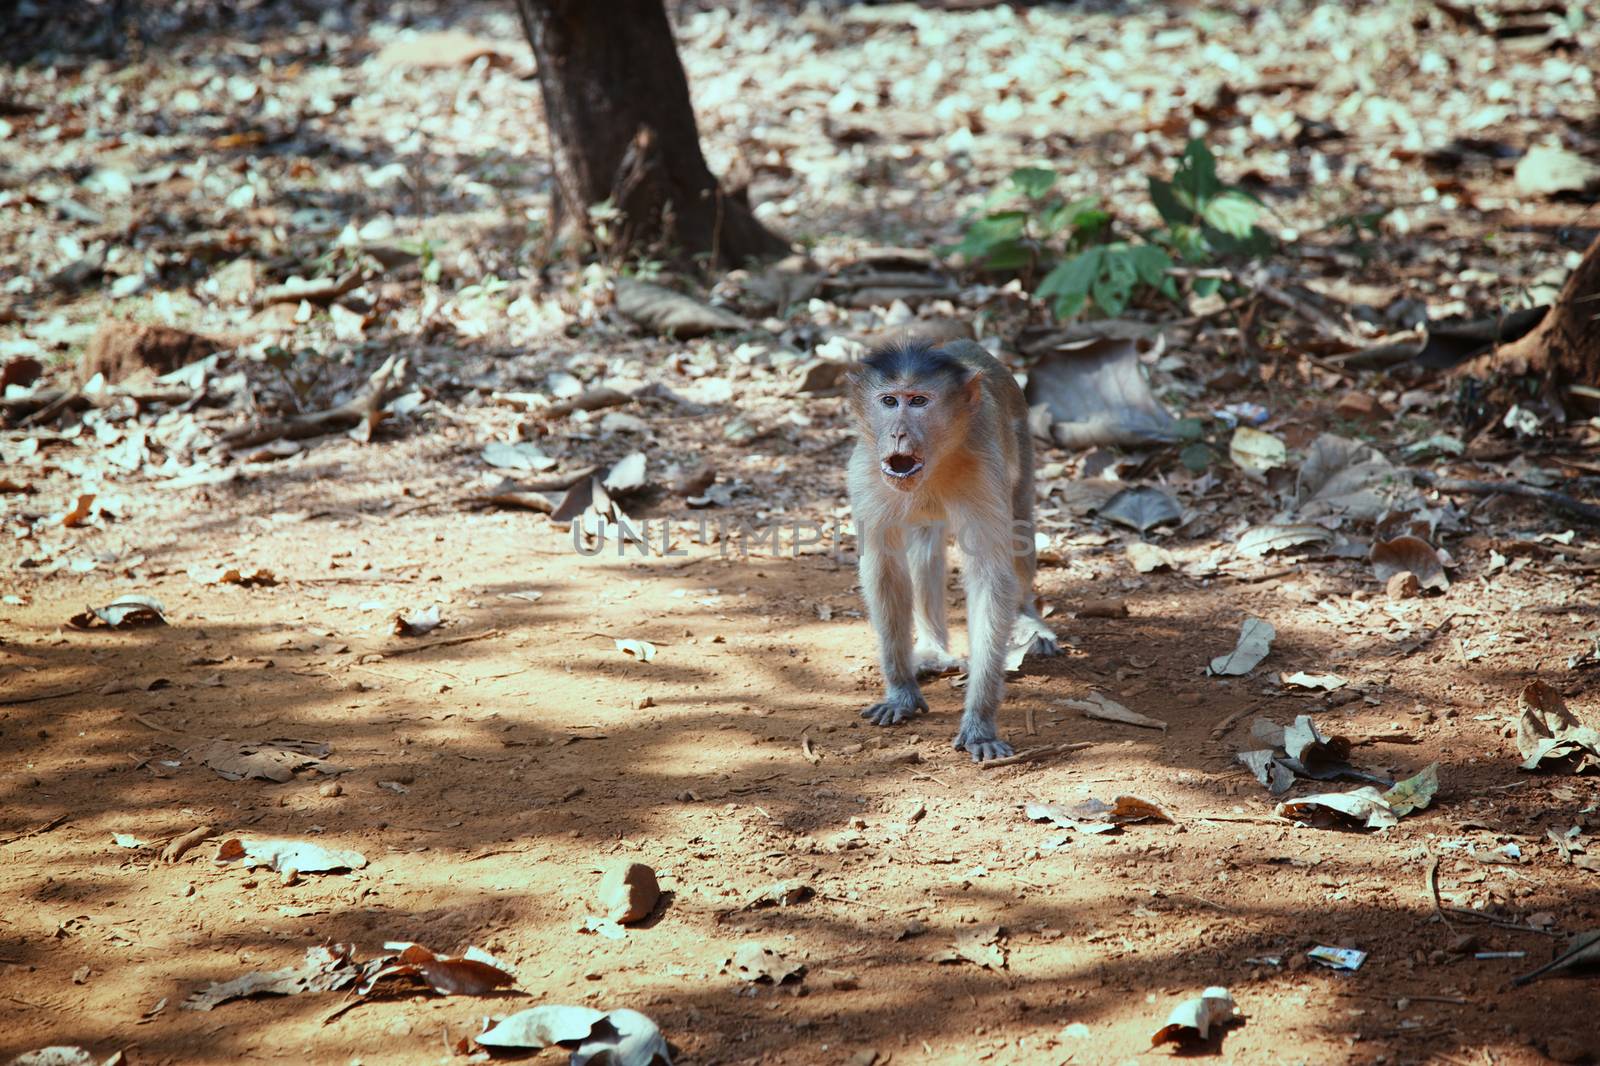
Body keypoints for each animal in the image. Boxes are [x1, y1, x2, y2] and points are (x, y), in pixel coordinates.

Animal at [844, 336, 1056, 758]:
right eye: (889, 401)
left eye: (918, 401)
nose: (898, 434)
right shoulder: (865, 474)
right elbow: (884, 569)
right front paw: (901, 693)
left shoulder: (984, 472)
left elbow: (991, 577)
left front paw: (980, 723)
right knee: (926, 548)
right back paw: (933, 648)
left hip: (1022, 444)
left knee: (1018, 535)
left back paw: (1028, 619)